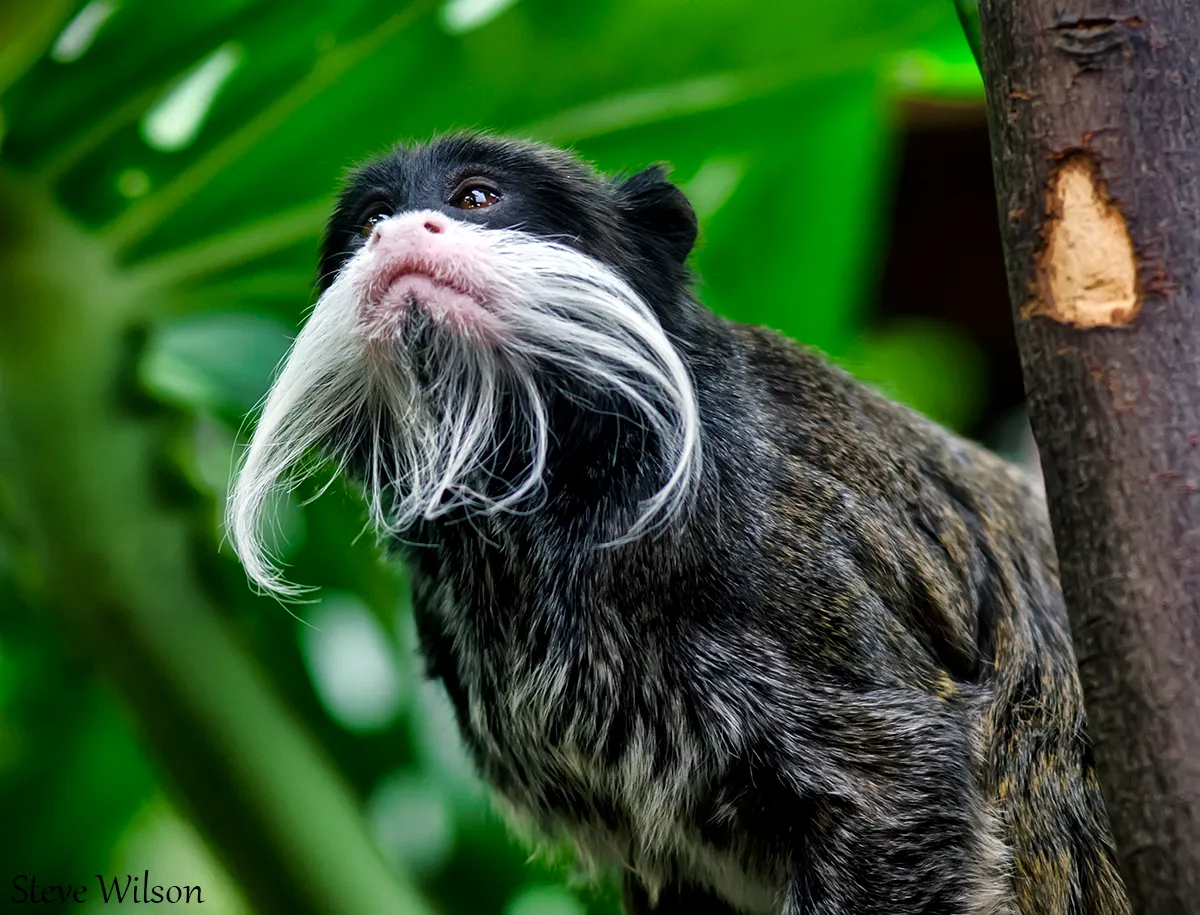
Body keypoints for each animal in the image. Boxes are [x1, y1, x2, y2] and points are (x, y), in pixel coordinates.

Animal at [226, 135, 1132, 912]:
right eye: (369, 223)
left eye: (474, 196)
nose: (400, 233)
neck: (564, 487)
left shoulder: (788, 557)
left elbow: (898, 790)